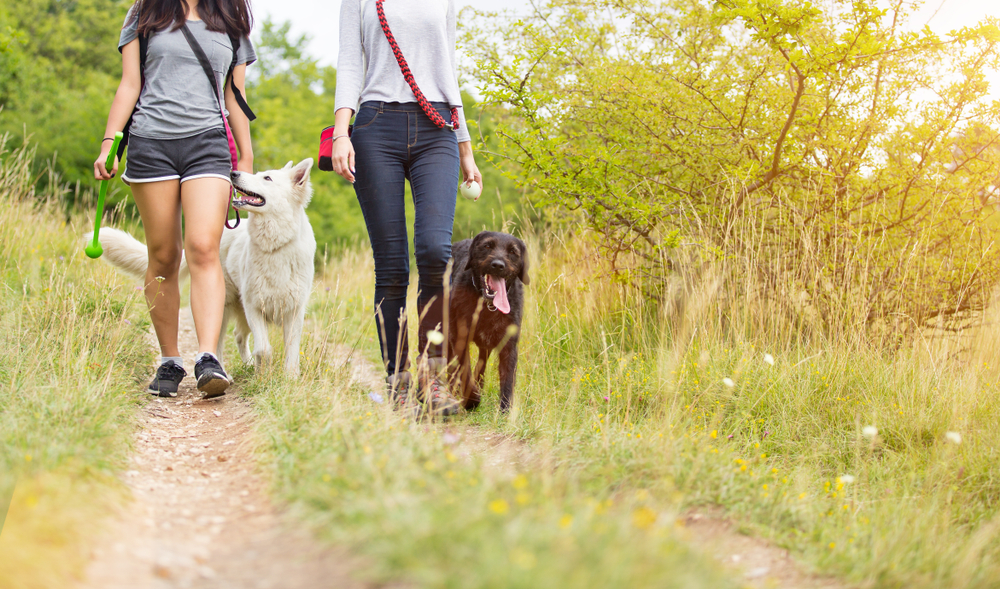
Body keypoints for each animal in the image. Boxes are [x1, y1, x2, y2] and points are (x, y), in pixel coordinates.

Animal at [93, 158, 316, 374]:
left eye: (267, 178)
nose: (233, 173)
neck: (275, 246)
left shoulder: (294, 311)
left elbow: (291, 350)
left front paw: (289, 377)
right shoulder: (254, 306)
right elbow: (264, 348)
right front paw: (263, 373)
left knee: (238, 335)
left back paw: (247, 365)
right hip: (224, 305)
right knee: (219, 341)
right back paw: (223, 372)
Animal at [450, 230, 532, 408]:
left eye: (513, 252)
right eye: (487, 246)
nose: (498, 265)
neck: (487, 306)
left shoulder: (509, 345)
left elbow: (507, 380)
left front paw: (506, 410)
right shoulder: (460, 338)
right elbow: (464, 370)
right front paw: (472, 399)